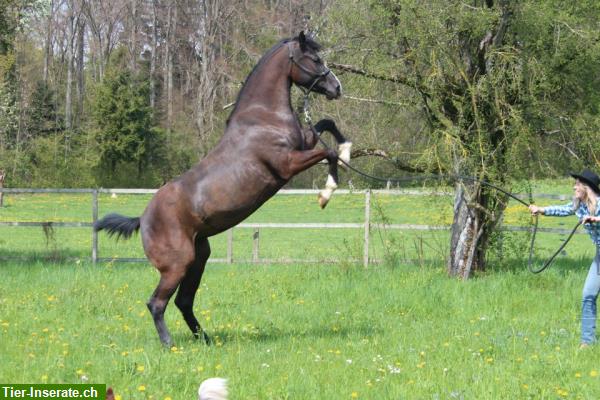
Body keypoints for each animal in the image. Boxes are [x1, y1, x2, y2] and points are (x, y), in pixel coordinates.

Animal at [94, 32, 352, 346]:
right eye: (314, 59)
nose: (336, 88)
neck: (263, 118)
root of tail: (142, 219)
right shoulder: (288, 164)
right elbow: (329, 153)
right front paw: (326, 193)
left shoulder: (305, 141)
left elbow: (328, 125)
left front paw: (348, 149)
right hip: (178, 264)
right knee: (157, 303)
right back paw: (169, 344)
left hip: (199, 258)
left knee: (183, 301)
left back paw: (205, 339)